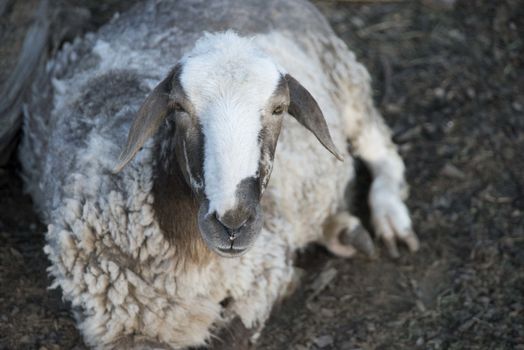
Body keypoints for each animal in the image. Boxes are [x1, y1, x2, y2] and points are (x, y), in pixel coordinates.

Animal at [20, 0, 420, 348]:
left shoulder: (262, 273)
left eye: (280, 108)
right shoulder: (117, 323)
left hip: (347, 81)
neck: (192, 259)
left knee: (381, 149)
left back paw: (390, 221)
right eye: (179, 107)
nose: (232, 223)